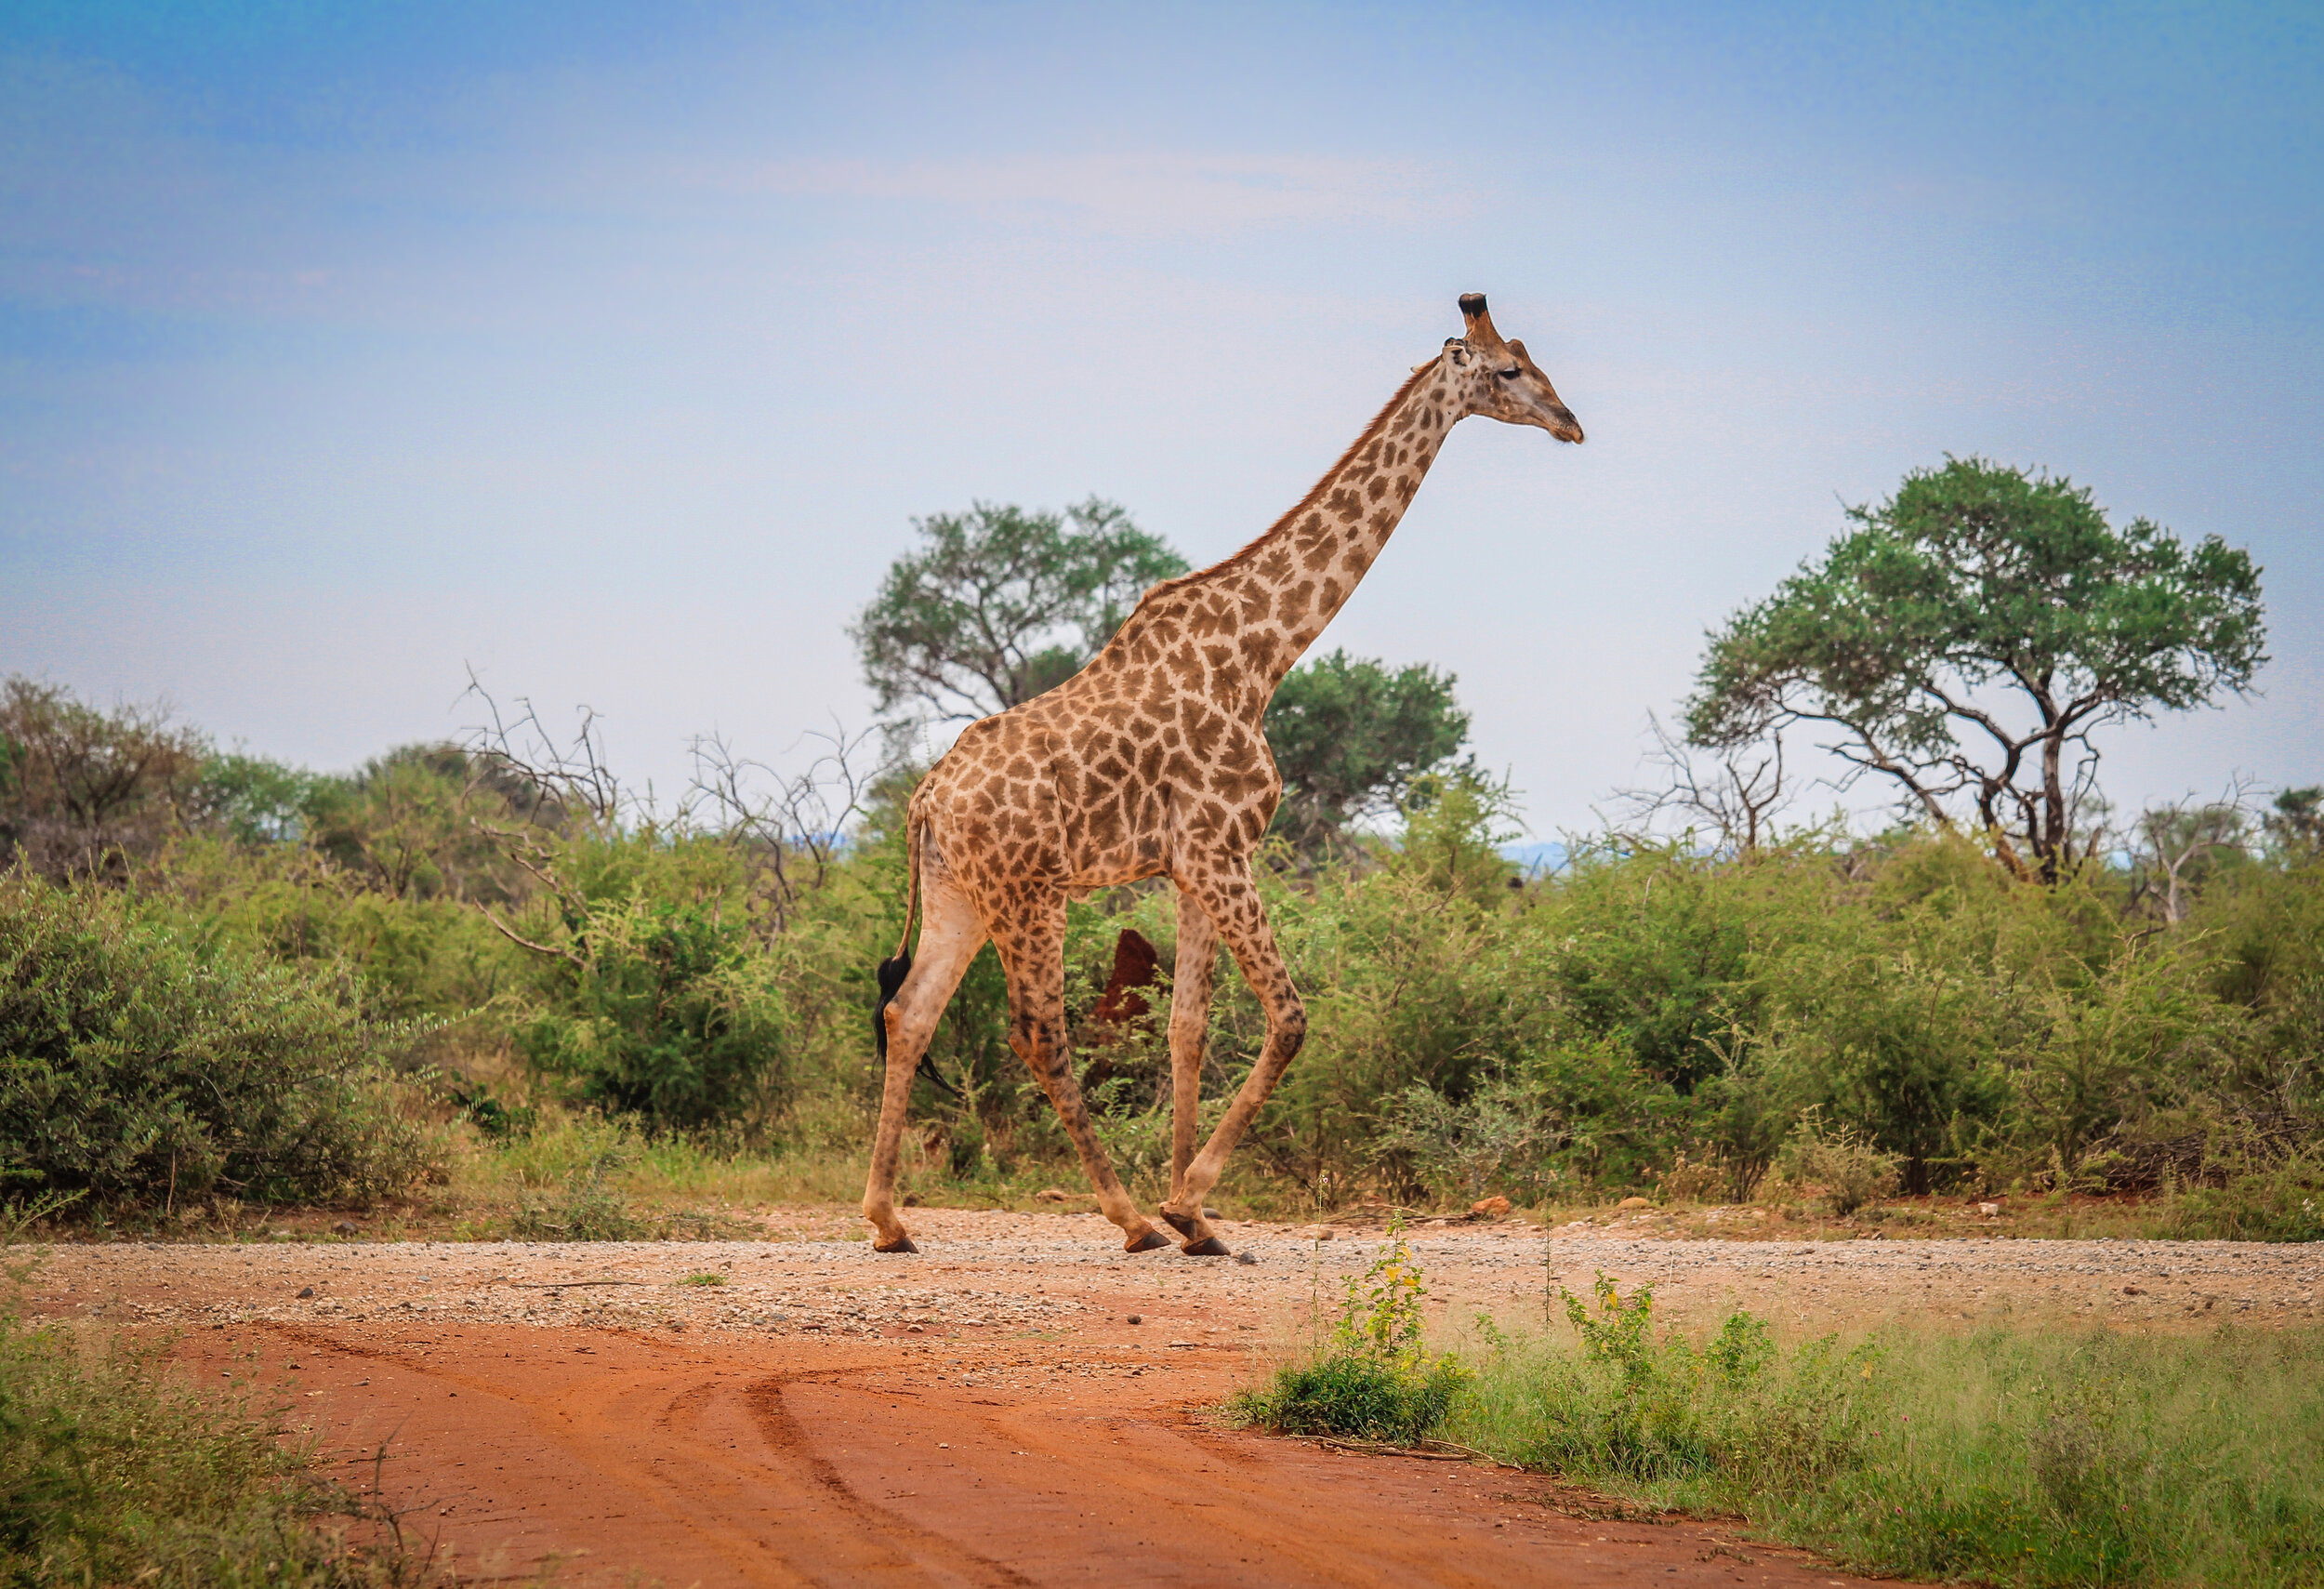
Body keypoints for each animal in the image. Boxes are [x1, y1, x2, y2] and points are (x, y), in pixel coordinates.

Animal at [865, 295, 1590, 1254]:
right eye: (1508, 370)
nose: (1572, 422)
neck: (1262, 652)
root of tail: (925, 799)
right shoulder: (1221, 848)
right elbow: (1288, 1017)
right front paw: (1185, 1202)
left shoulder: (1190, 864)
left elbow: (1187, 1028)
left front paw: (1201, 1218)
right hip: (1030, 893)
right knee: (1038, 1030)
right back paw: (1129, 1218)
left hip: (961, 892)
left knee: (909, 1013)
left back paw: (887, 1218)